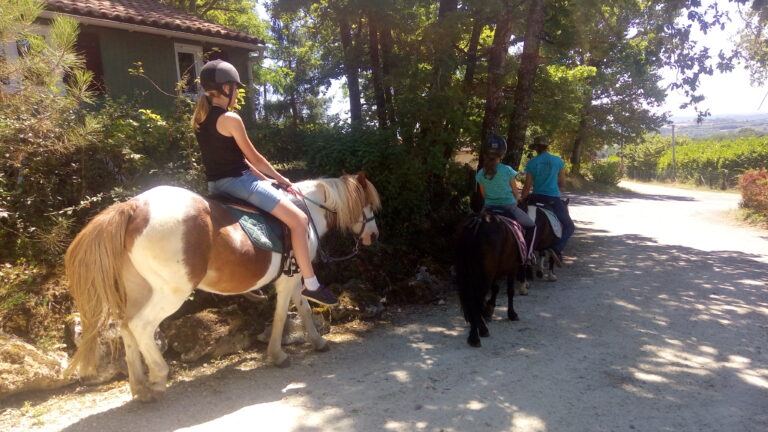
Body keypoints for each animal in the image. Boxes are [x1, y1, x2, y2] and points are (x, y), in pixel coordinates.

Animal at [63, 172, 380, 402]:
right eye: (368, 204)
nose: (375, 235)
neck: (307, 210)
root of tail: (132, 207)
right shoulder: (290, 277)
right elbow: (282, 314)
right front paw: (277, 355)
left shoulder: (293, 278)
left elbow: (302, 307)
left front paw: (317, 342)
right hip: (170, 293)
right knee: (140, 326)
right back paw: (158, 377)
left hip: (137, 290)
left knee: (126, 327)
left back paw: (139, 386)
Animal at [452, 210, 532, 348]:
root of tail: (477, 222)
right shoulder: (512, 268)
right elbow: (510, 292)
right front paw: (512, 314)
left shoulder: (496, 272)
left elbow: (496, 288)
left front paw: (489, 309)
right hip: (484, 275)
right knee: (477, 300)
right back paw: (476, 336)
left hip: (469, 274)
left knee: (473, 299)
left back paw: (480, 329)